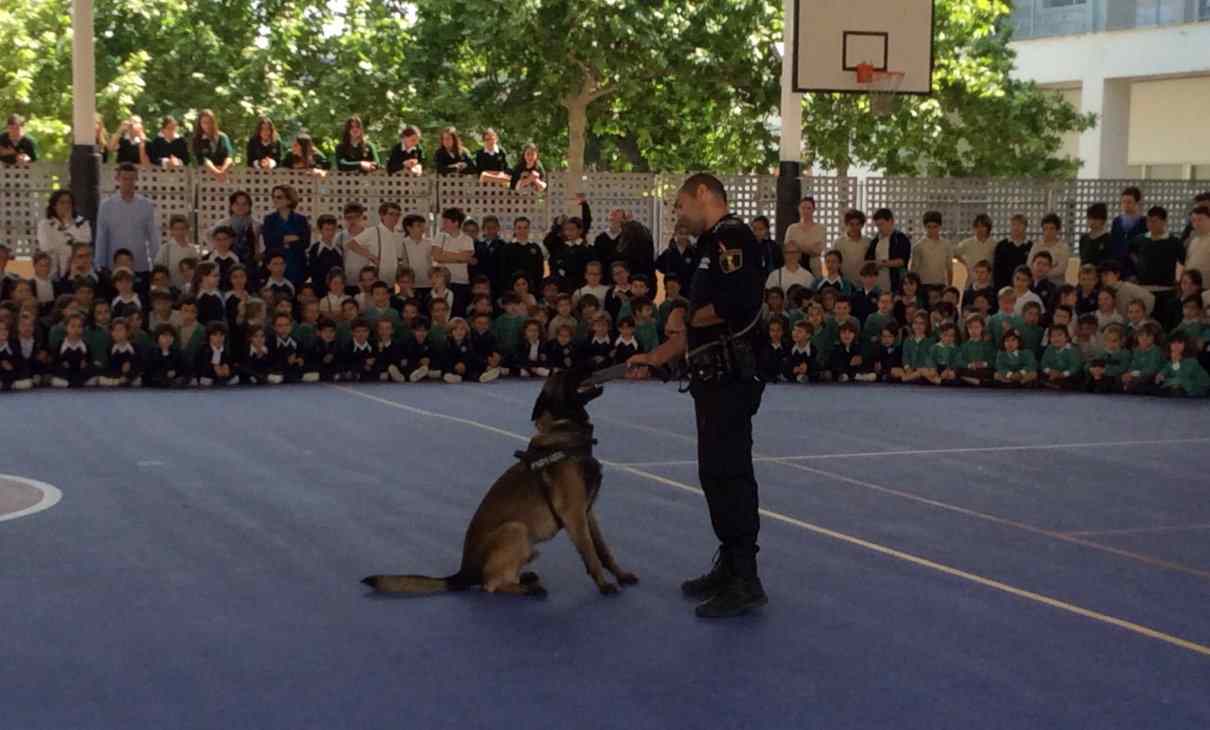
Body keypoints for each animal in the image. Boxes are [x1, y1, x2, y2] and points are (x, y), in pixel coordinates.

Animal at [360, 368, 638, 598]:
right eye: (565, 373)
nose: (596, 360)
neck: (566, 433)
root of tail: (462, 573)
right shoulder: (575, 515)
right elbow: (591, 554)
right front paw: (604, 585)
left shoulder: (588, 512)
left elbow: (604, 551)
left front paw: (620, 574)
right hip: (516, 529)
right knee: (489, 585)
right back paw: (526, 588)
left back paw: (525, 578)